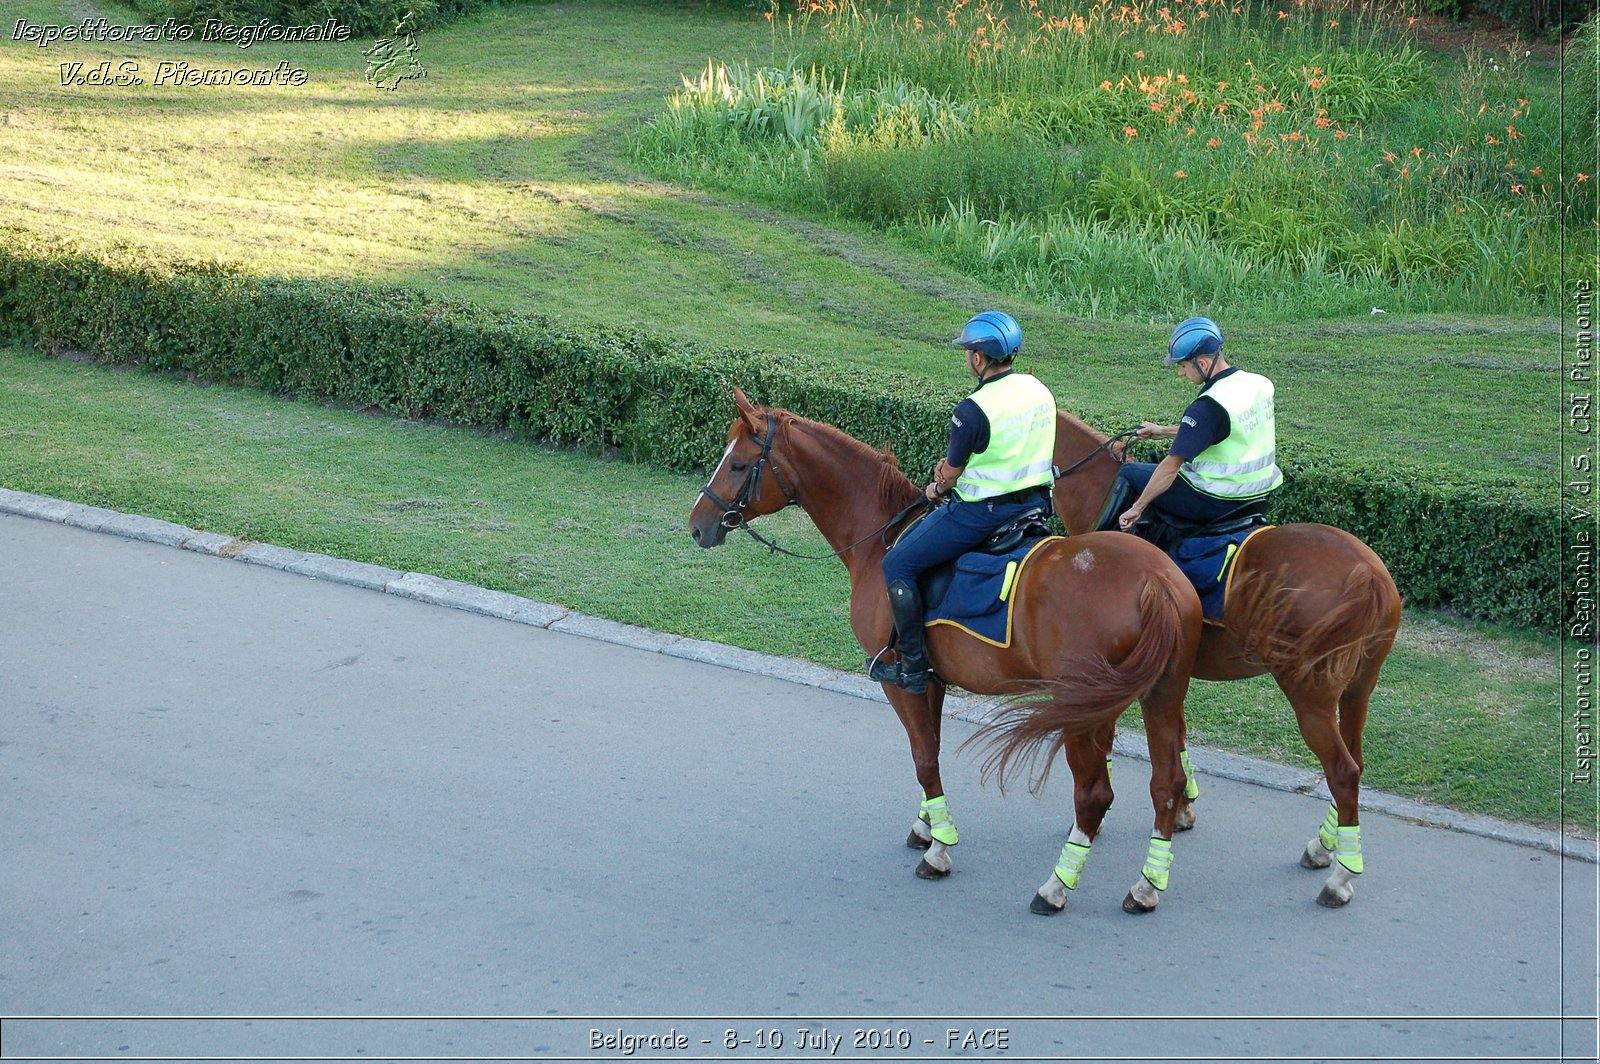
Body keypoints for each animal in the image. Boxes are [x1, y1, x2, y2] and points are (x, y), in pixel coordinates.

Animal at [694, 390, 1203, 915]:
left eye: (738, 464)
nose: (698, 525)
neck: (880, 538)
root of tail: (1157, 581)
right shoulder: (931, 680)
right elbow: (931, 752)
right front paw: (927, 825)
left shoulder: (902, 682)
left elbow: (923, 758)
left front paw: (940, 848)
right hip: (1161, 695)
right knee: (1165, 784)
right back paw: (1147, 884)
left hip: (1085, 708)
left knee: (1094, 795)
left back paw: (1057, 885)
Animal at [1056, 408, 1395, 902]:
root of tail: (1368, 574)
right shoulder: (1171, 674)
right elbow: (1177, 735)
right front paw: (1182, 808)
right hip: (1357, 691)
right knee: (1356, 763)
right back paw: (1325, 845)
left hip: (1310, 695)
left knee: (1343, 771)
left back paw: (1340, 875)